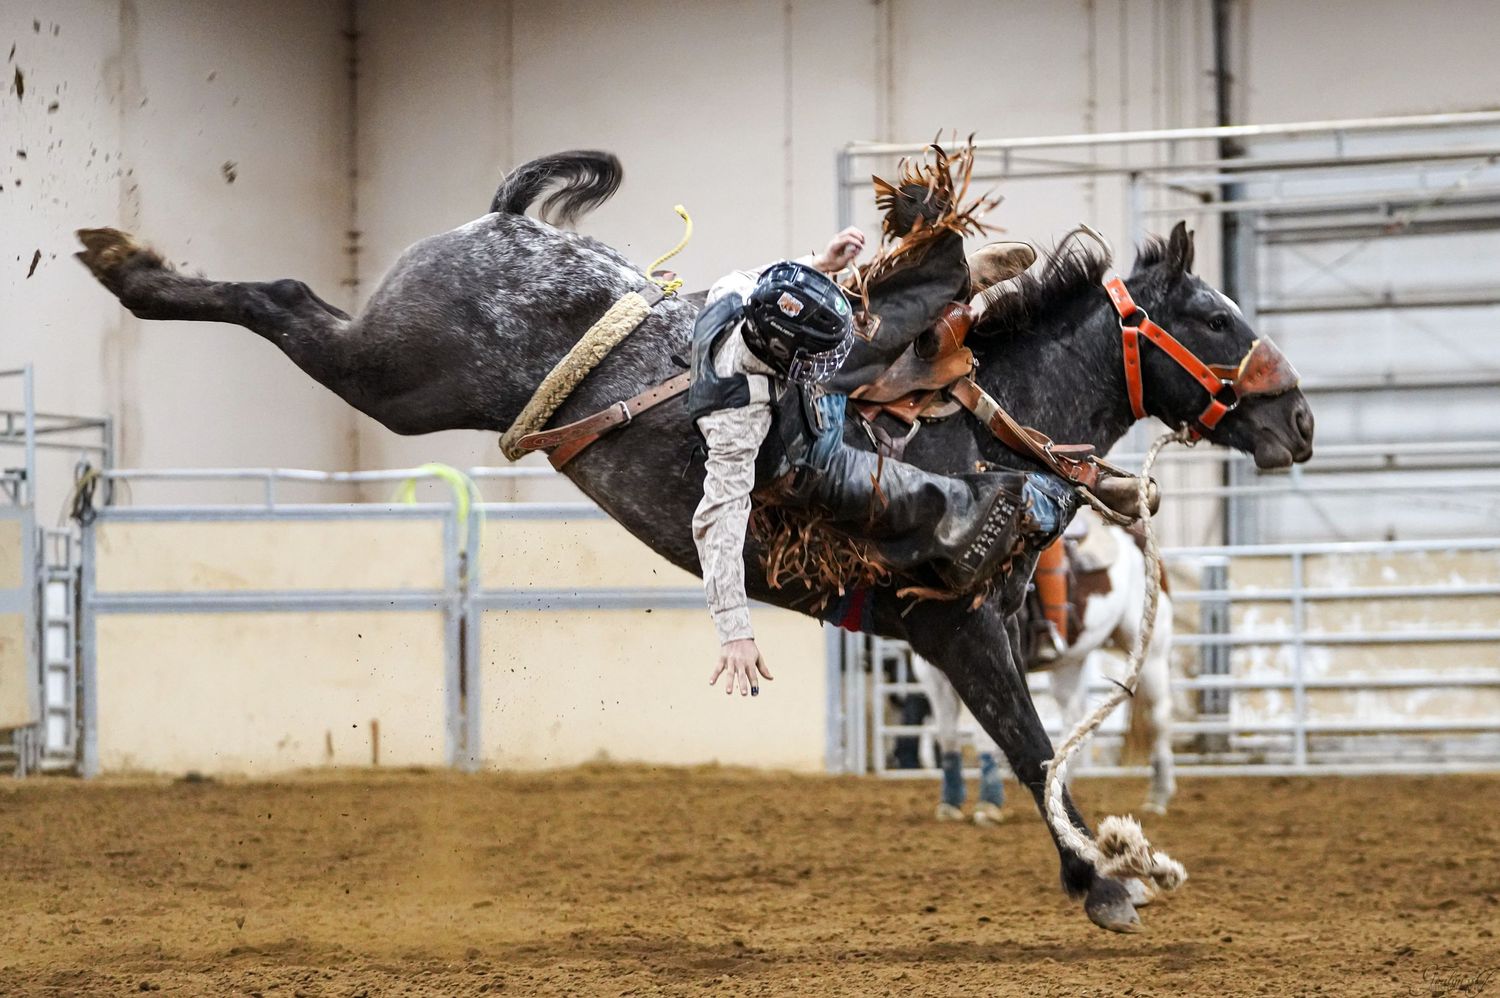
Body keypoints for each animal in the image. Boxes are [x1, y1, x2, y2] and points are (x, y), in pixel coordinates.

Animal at [913, 509, 1179, 827]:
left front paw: (988, 803)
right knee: (1074, 718)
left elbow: (982, 735)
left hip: (1152, 651)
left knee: (1159, 718)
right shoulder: (933, 673)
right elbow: (948, 735)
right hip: (1072, 661)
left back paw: (1158, 796)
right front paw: (950, 802)